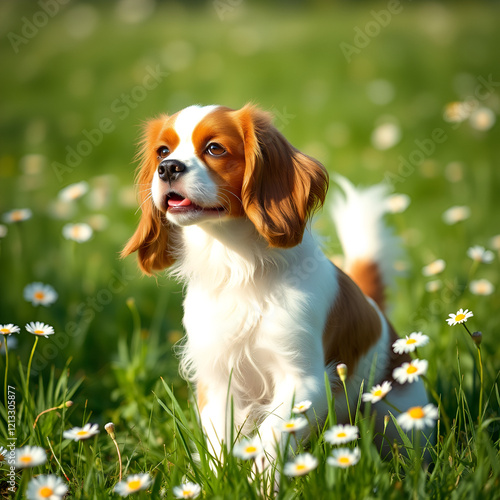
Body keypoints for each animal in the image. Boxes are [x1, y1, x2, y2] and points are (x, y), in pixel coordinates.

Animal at [122, 102, 430, 468]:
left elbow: (270, 437)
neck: (238, 266)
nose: (168, 168)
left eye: (215, 148)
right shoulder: (216, 377)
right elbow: (219, 443)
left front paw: (260, 479)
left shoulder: (304, 380)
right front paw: (219, 476)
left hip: (397, 418)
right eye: (162, 152)